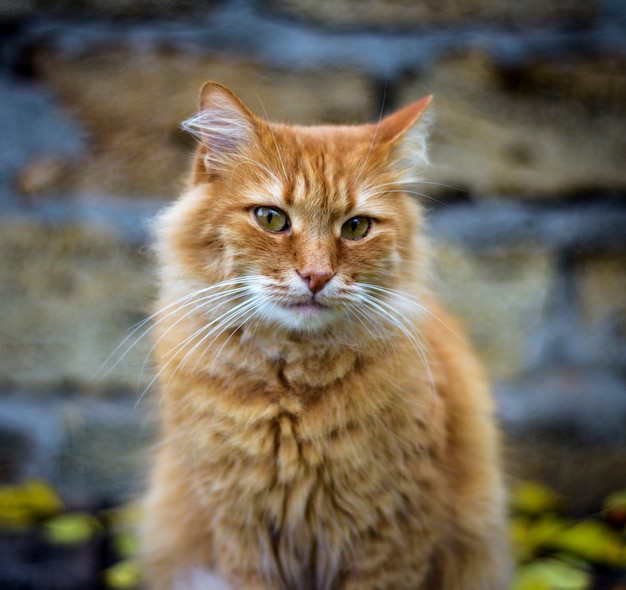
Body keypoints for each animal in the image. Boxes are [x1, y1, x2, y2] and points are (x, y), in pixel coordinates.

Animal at [139, 81, 510, 588]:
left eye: (356, 227)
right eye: (271, 219)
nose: (316, 276)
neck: (292, 392)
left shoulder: (391, 538)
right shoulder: (244, 537)